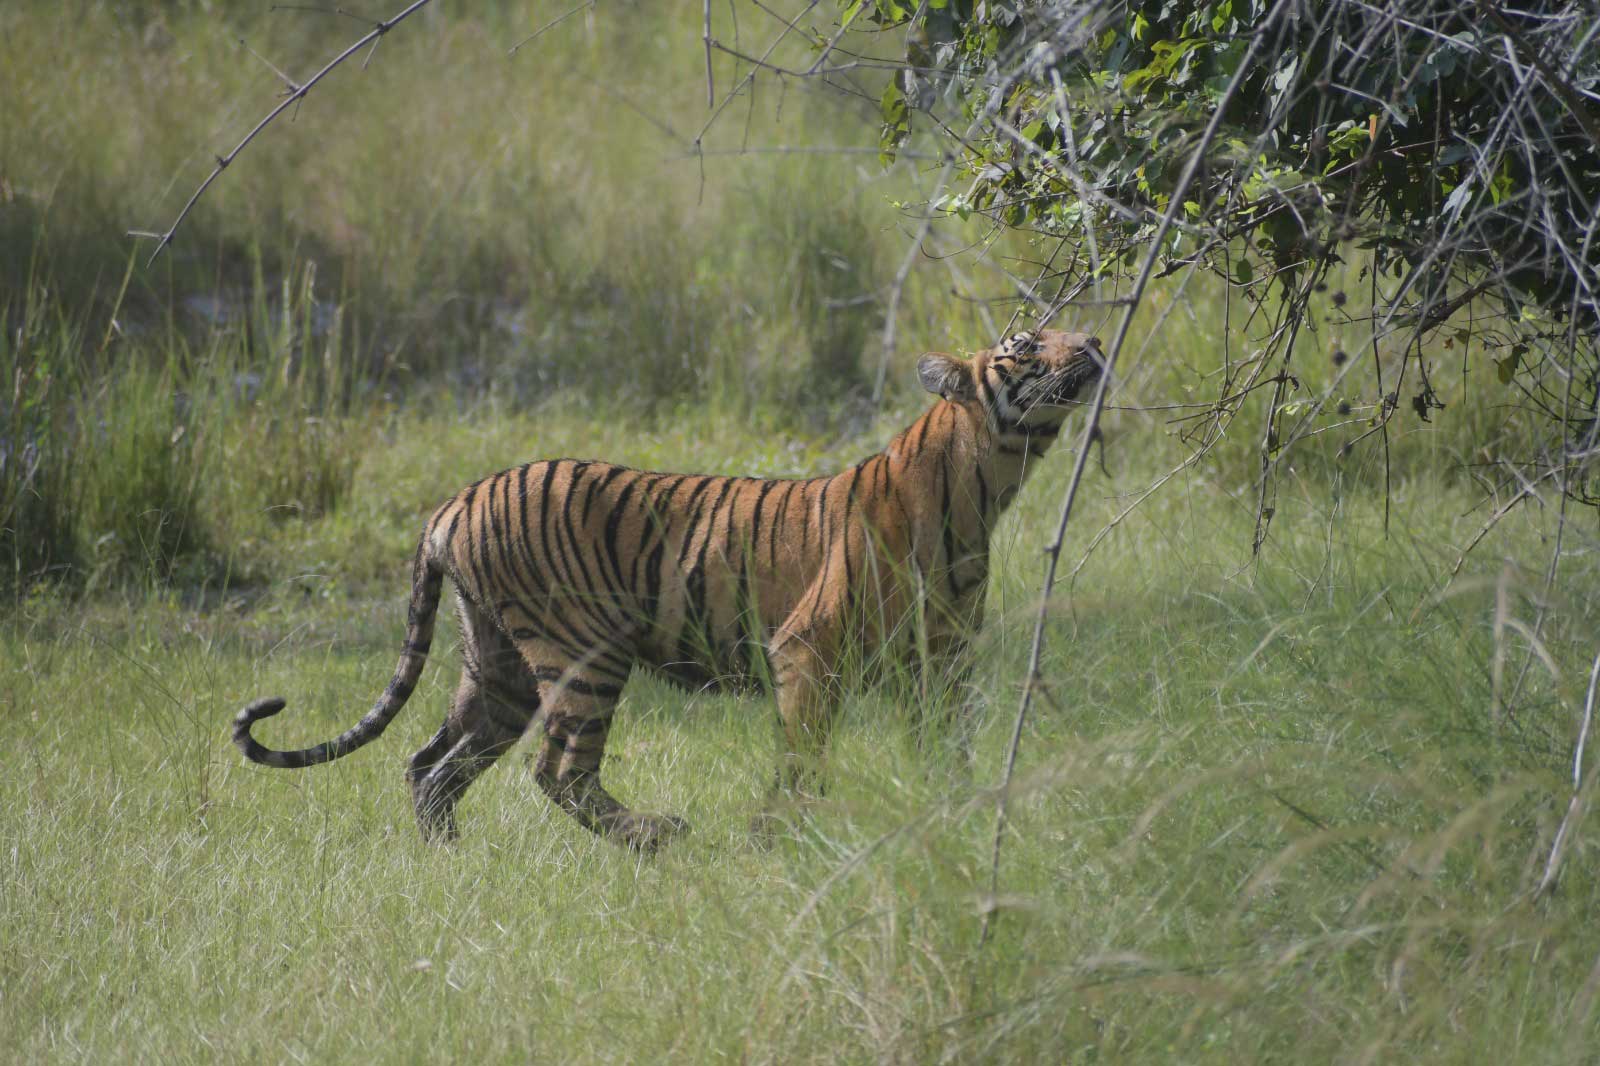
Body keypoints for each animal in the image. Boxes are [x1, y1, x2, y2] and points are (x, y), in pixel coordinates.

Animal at [234, 329, 1105, 850]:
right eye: (1028, 344)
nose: (1095, 339)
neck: (986, 486)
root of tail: (455, 501)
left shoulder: (941, 663)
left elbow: (948, 752)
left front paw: (952, 818)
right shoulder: (807, 650)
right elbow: (804, 756)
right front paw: (781, 837)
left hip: (496, 665)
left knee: (431, 763)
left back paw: (451, 859)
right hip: (584, 652)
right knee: (557, 771)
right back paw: (660, 837)